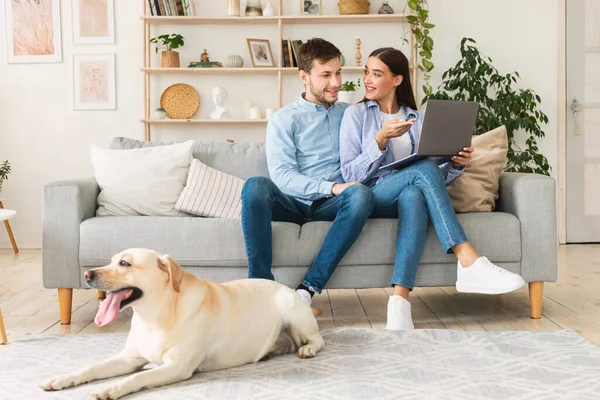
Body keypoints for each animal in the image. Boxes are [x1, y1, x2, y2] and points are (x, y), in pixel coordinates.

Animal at [40, 248, 326, 398]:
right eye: (111, 261)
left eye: (124, 263)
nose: (87, 274)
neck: (154, 316)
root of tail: (287, 288)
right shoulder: (129, 358)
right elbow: (92, 367)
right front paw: (63, 378)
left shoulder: (177, 366)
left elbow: (137, 377)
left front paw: (110, 387)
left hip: (292, 311)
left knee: (319, 339)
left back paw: (308, 349)